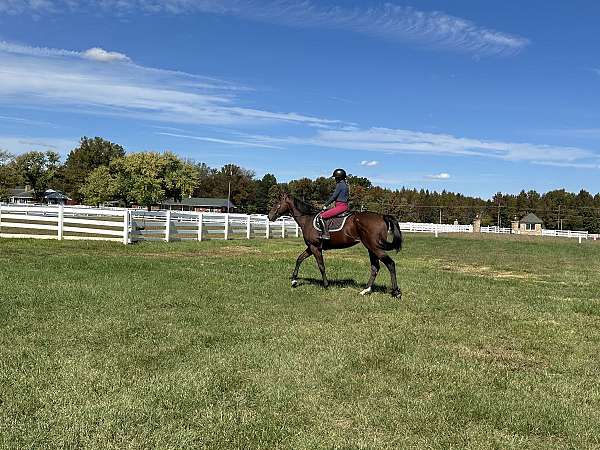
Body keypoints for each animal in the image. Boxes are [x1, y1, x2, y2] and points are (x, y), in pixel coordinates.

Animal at [268, 192, 404, 298]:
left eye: (278, 204)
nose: (270, 216)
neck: (307, 219)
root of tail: (382, 216)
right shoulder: (311, 247)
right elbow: (299, 259)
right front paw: (294, 281)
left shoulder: (315, 248)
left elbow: (321, 266)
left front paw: (326, 285)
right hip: (371, 248)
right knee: (375, 267)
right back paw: (365, 290)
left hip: (374, 247)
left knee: (390, 264)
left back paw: (396, 292)